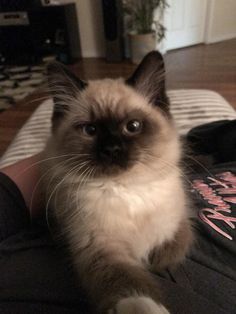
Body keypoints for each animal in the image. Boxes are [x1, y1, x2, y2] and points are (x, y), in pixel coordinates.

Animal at [42, 52, 194, 314]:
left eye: (132, 126)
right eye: (90, 130)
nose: (111, 149)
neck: (128, 187)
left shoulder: (178, 222)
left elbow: (170, 251)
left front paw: (159, 266)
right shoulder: (101, 247)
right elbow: (126, 279)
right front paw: (142, 305)